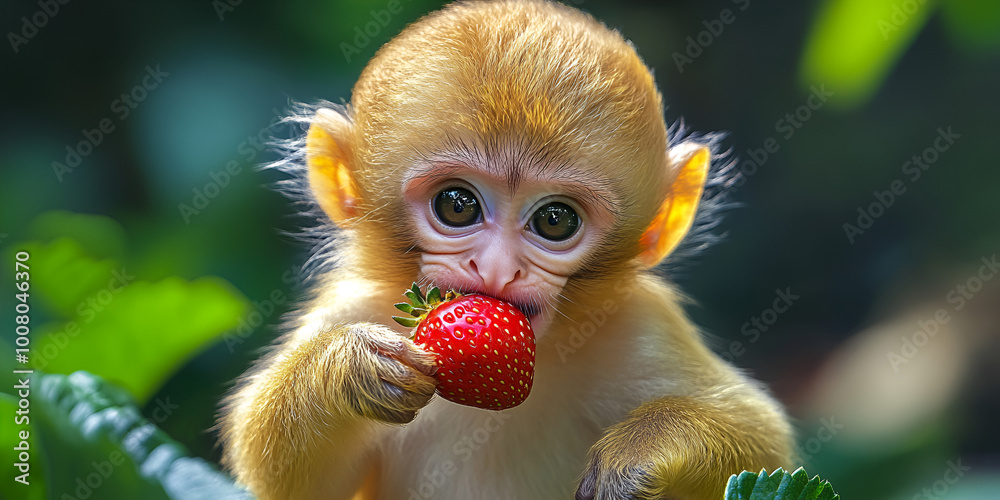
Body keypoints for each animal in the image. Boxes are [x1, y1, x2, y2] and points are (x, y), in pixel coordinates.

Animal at [219, 1, 794, 499]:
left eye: (555, 220)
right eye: (456, 205)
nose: (497, 267)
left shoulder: (640, 324)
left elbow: (764, 443)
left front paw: (645, 449)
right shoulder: (353, 305)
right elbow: (290, 484)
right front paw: (345, 368)